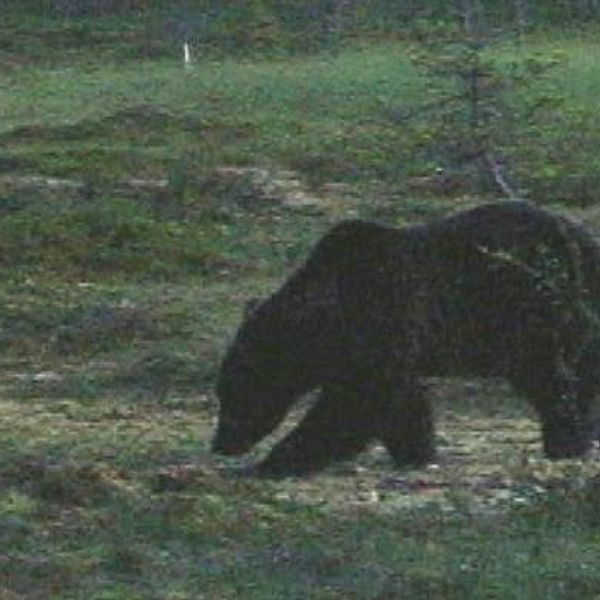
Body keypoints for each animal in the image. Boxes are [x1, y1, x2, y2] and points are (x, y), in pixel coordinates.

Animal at [212, 202, 600, 478]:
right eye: (224, 392)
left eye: (234, 392)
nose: (221, 443)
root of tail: (580, 240)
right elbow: (401, 404)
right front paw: (415, 451)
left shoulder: (378, 323)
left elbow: (354, 404)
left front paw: (276, 460)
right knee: (582, 371)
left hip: (530, 307)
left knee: (547, 376)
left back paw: (564, 440)